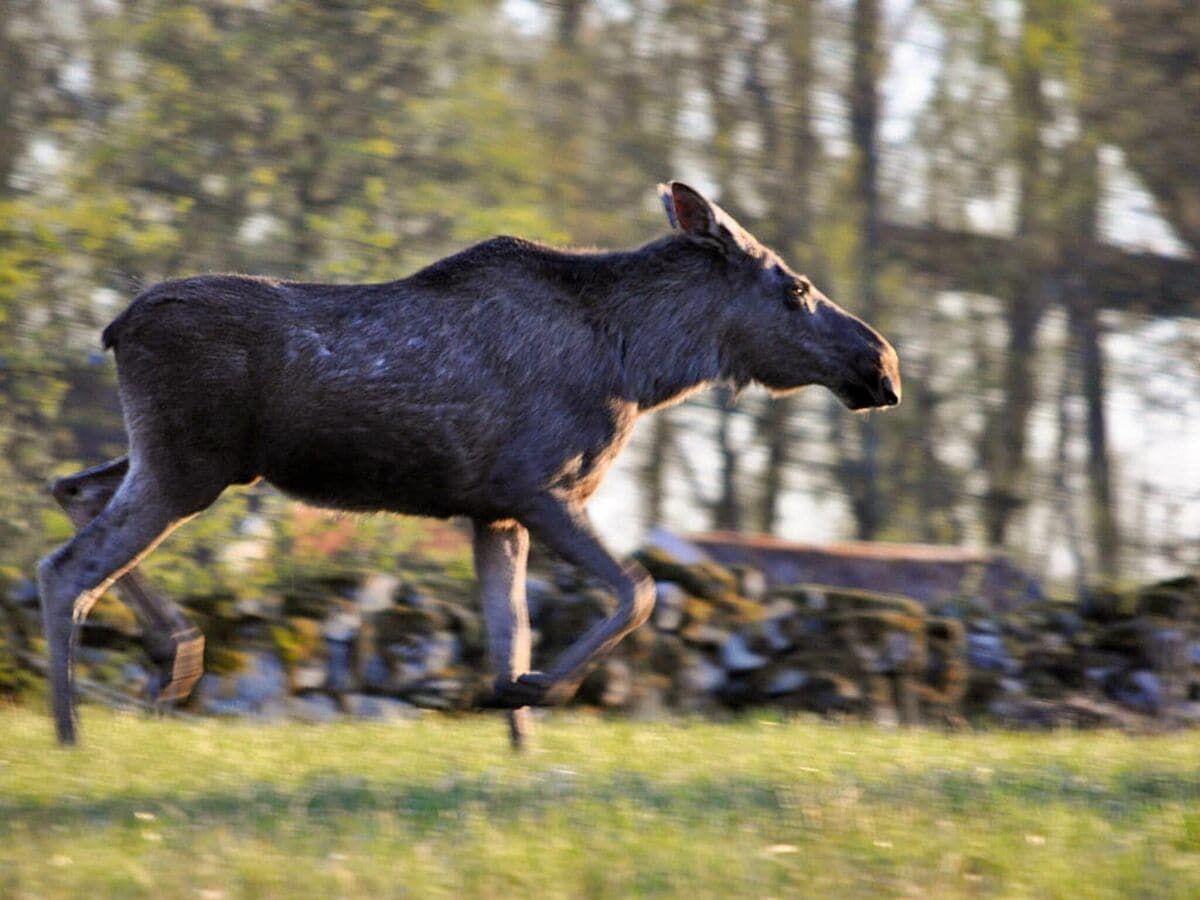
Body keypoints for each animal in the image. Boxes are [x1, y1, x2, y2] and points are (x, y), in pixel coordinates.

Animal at [37, 181, 902, 748]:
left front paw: (517, 737)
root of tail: (115, 328)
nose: (882, 363)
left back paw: (173, 656)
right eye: (795, 287)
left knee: (72, 487)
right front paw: (539, 689)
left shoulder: (494, 513)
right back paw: (74, 729)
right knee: (65, 567)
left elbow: (508, 634)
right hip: (189, 463)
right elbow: (639, 590)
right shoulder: (537, 487)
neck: (642, 368)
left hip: (192, 461)